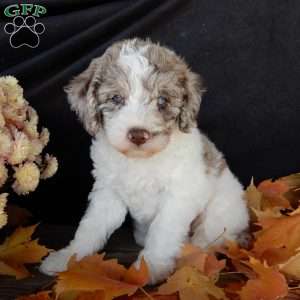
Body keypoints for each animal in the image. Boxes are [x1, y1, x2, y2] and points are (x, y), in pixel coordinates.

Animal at [40, 38, 251, 284]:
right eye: (116, 98)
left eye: (162, 101)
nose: (138, 135)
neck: (140, 160)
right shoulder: (108, 193)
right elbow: (91, 226)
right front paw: (68, 258)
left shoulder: (178, 196)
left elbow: (162, 232)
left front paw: (150, 267)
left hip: (220, 213)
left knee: (210, 237)